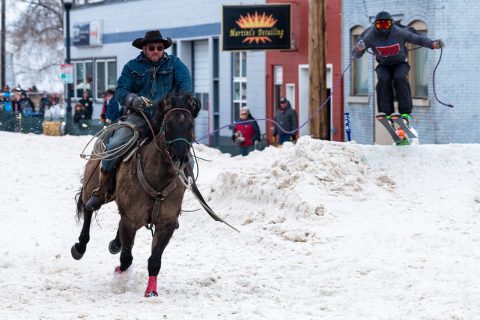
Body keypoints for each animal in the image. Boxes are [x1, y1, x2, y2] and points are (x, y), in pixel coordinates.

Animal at [71, 92, 201, 298]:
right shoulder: (130, 221)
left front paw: (151, 291)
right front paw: (119, 279)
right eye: (168, 125)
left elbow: (154, 260)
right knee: (89, 208)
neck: (158, 177)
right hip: (91, 187)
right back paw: (80, 246)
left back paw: (115, 243)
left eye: (190, 126)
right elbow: (126, 259)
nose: (180, 157)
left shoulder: (166, 224)